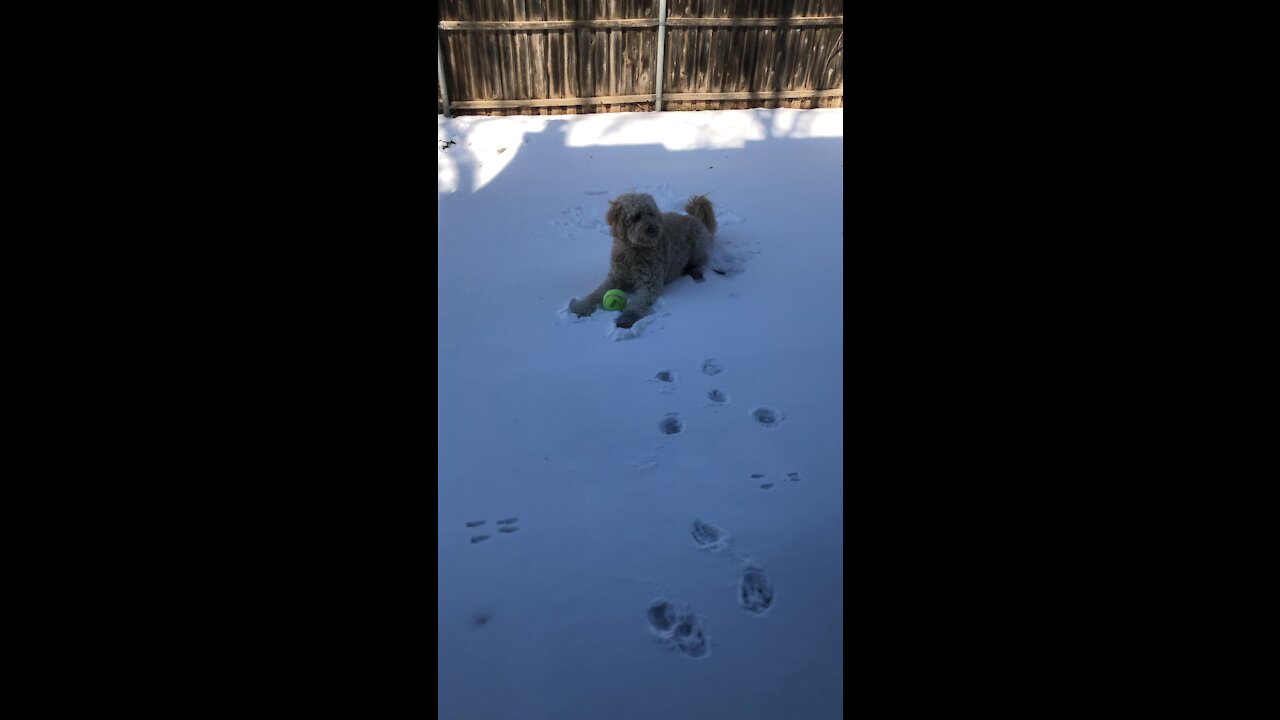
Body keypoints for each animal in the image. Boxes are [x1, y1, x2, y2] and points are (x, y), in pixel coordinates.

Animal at [570, 190, 721, 325]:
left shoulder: (649, 282)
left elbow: (639, 302)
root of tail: (694, 217)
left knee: (699, 260)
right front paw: (580, 306)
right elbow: (597, 293)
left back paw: (695, 271)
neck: (634, 249)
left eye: (651, 214)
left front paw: (627, 317)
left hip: (698, 242)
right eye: (637, 216)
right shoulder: (616, 277)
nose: (654, 229)